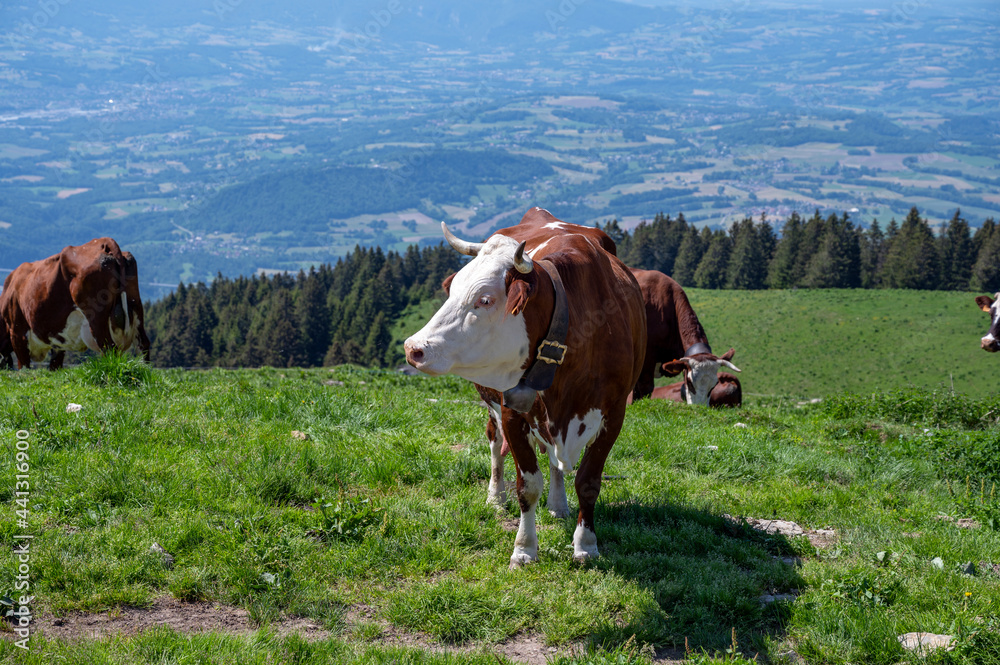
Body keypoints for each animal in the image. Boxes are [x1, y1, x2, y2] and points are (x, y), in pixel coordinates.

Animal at [0, 236, 152, 368]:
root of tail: (103, 242)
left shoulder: (17, 331)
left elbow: (24, 365)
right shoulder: (58, 341)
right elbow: (55, 365)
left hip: (97, 319)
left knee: (109, 348)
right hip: (136, 307)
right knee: (143, 345)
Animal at [402, 213, 644, 564]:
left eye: (485, 299)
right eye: (453, 290)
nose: (414, 348)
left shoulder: (614, 413)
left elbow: (588, 482)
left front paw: (586, 545)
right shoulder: (511, 410)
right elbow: (527, 485)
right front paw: (525, 549)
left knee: (556, 463)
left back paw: (558, 505)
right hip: (492, 404)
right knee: (495, 444)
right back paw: (495, 496)